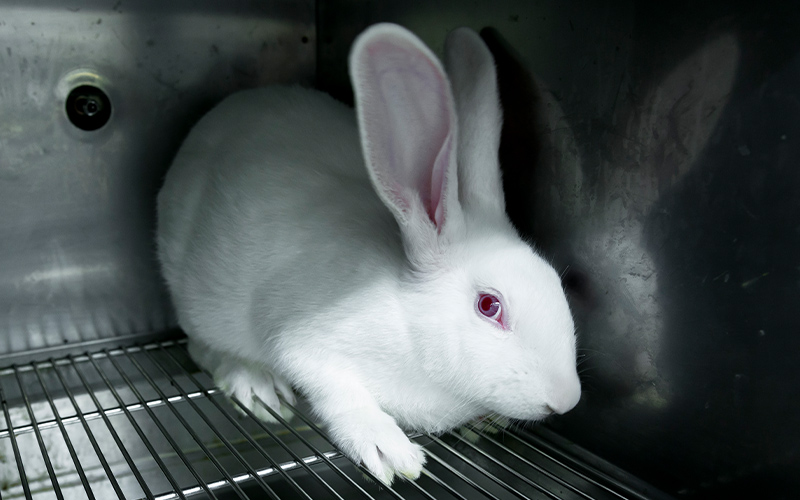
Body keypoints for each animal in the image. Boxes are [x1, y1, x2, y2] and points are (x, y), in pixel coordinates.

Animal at [156, 23, 580, 484]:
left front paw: (483, 423)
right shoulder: (304, 342)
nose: (566, 400)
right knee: (203, 348)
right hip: (198, 303)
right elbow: (339, 393)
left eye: (556, 282)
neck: (408, 321)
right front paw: (388, 450)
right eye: (489, 305)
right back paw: (254, 383)